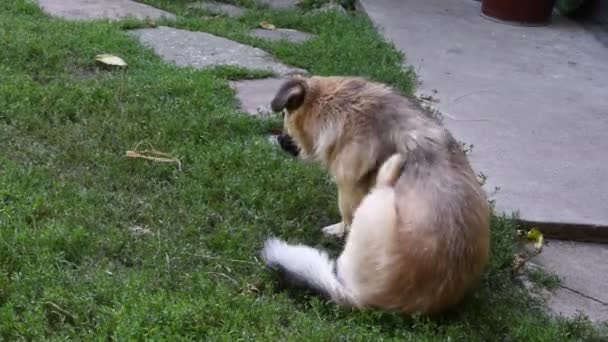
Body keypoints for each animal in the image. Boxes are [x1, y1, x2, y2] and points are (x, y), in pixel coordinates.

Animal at [262, 76, 490, 314]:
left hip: (374, 206)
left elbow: (345, 217)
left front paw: (337, 229)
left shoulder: (348, 188)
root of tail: (367, 300)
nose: (279, 140)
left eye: (284, 116)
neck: (345, 105)